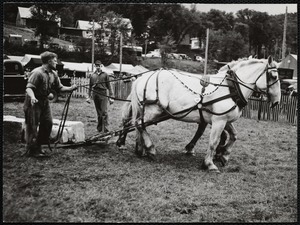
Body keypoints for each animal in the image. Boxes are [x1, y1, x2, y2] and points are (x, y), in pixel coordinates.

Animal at [116, 56, 282, 172]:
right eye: (274, 77)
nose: (276, 102)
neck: (230, 87)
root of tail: (142, 78)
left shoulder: (224, 119)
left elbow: (234, 135)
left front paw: (224, 154)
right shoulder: (219, 120)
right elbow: (213, 141)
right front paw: (209, 163)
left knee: (136, 124)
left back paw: (140, 149)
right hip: (154, 109)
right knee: (138, 124)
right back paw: (149, 148)